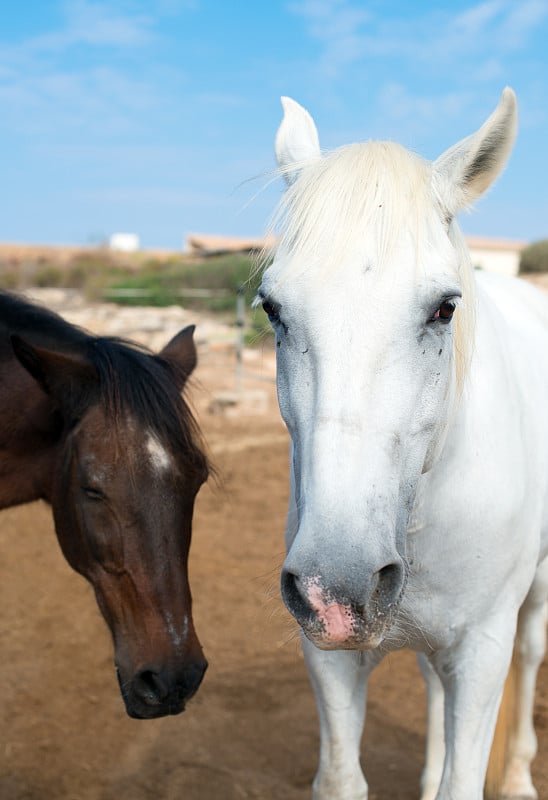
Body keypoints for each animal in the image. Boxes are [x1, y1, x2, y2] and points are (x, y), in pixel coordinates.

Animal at [260, 89, 548, 800]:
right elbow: (342, 777)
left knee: (532, 657)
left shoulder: (483, 652)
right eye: (272, 309)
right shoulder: (329, 657)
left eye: (445, 308)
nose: (336, 587)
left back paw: (520, 777)